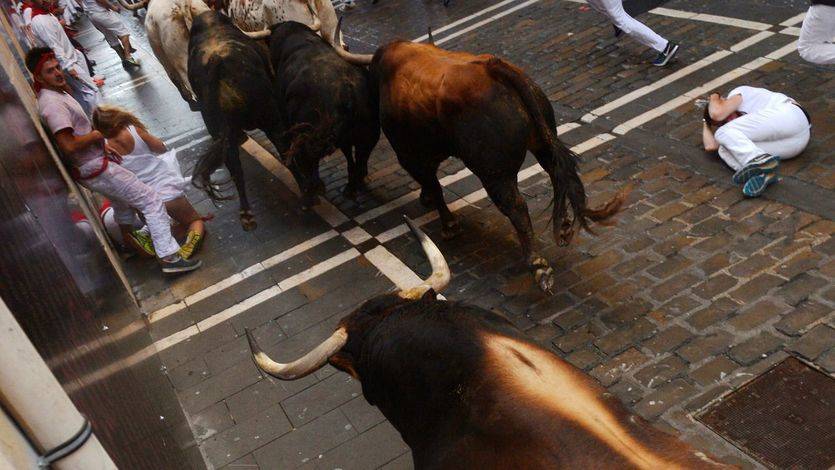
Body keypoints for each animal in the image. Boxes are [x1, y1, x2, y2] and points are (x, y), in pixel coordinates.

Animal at [334, 37, 628, 294]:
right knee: (557, 174)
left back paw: (538, 265)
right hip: (543, 141)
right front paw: (427, 200)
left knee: (516, 207)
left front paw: (449, 225)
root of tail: (493, 68)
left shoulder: (409, 155)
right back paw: (563, 227)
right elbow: (432, 184)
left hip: (493, 173)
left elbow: (434, 186)